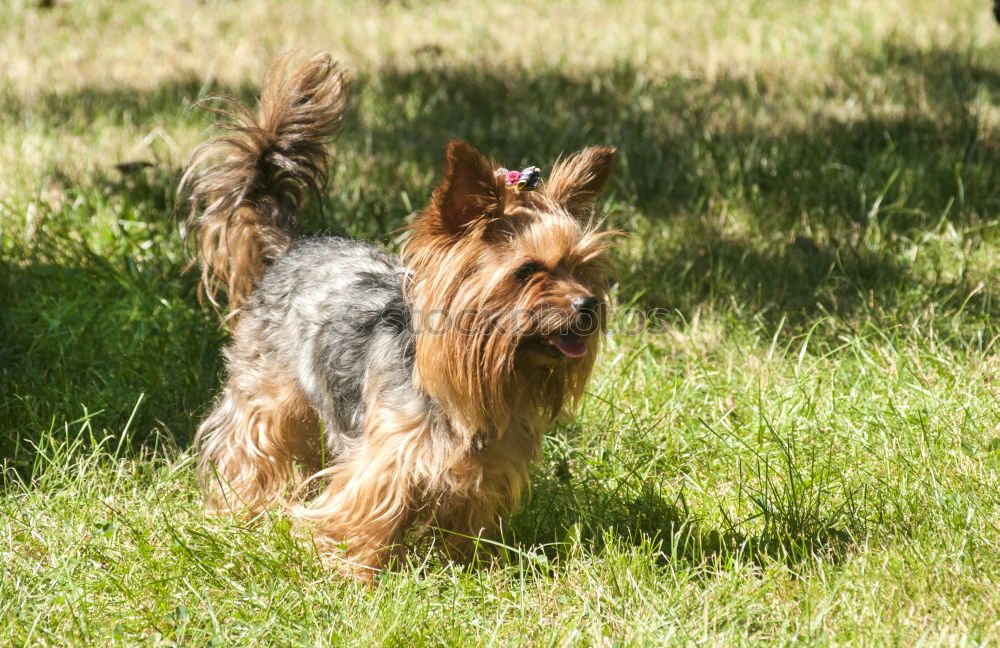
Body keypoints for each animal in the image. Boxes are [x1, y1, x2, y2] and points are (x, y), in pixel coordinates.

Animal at [181, 53, 616, 580]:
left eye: (583, 269)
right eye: (527, 271)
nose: (588, 305)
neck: (472, 382)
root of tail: (294, 245)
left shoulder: (487, 465)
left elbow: (464, 519)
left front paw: (466, 567)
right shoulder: (386, 455)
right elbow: (364, 511)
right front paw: (351, 573)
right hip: (266, 388)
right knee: (250, 443)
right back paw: (239, 511)